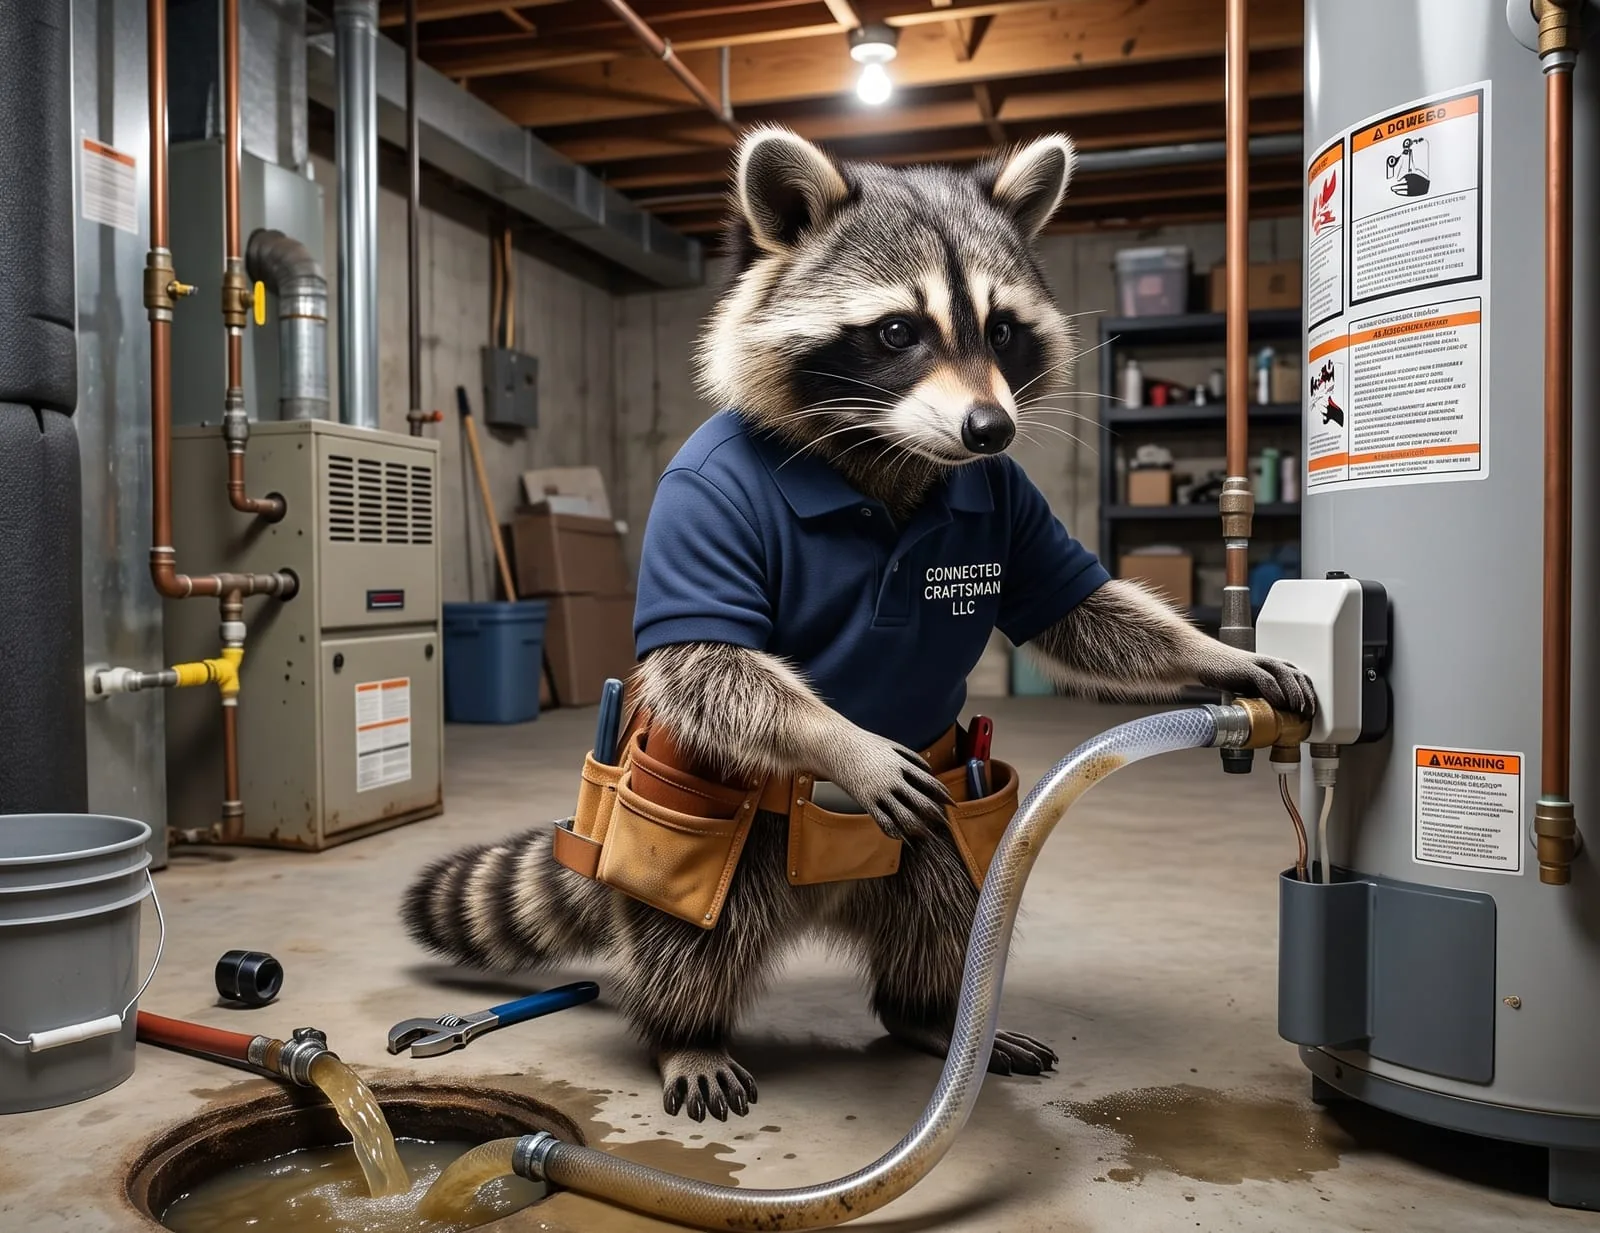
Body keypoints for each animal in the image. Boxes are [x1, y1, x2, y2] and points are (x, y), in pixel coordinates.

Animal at [404, 127, 1314, 1124]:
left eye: (1001, 329)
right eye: (896, 332)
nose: (990, 429)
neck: (886, 454)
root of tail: (828, 896)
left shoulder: (1010, 501)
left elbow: (1081, 611)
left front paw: (1218, 654)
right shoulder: (700, 500)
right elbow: (710, 662)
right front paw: (847, 741)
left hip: (947, 823)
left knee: (953, 909)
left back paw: (928, 1010)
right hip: (705, 828)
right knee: (691, 937)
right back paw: (688, 1029)